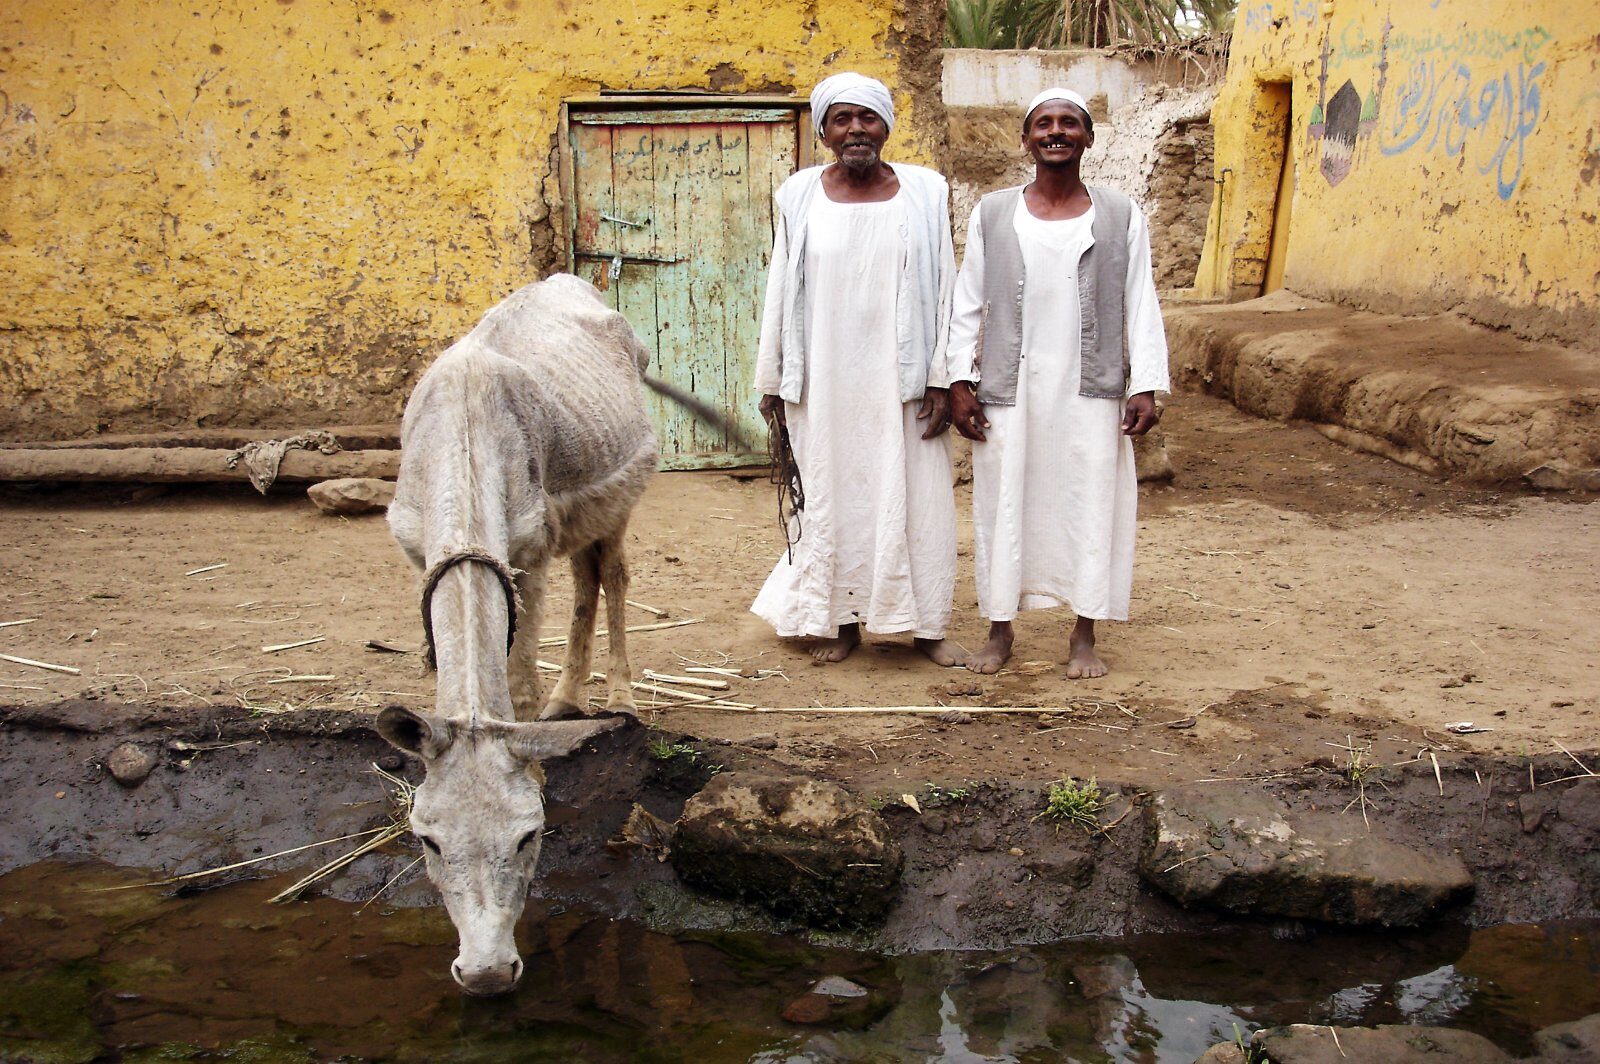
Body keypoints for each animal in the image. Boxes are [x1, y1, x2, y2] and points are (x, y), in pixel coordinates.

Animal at [376, 274, 656, 996]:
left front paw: (535, 762)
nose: (486, 973)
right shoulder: (416, 551)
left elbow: (519, 689)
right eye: (427, 840)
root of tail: (568, 278)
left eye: (530, 836)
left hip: (619, 497)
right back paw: (569, 698)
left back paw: (617, 694)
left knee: (611, 574)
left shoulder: (528, 552)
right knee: (587, 578)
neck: (463, 438)